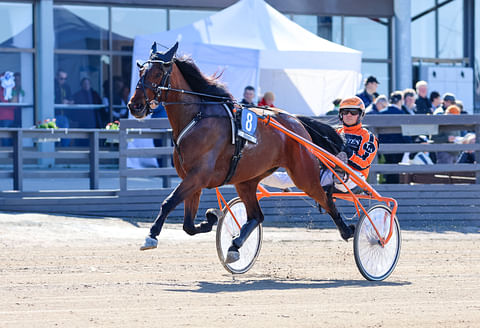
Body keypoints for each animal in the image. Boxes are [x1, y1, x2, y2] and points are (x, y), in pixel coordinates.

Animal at [129, 41, 354, 262]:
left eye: (158, 72)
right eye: (141, 72)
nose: (135, 105)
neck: (197, 118)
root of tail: (296, 122)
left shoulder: (198, 175)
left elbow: (168, 202)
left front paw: (151, 236)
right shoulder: (192, 178)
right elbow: (188, 225)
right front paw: (210, 219)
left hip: (303, 176)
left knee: (326, 199)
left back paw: (348, 230)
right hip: (247, 179)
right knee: (256, 215)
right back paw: (235, 246)